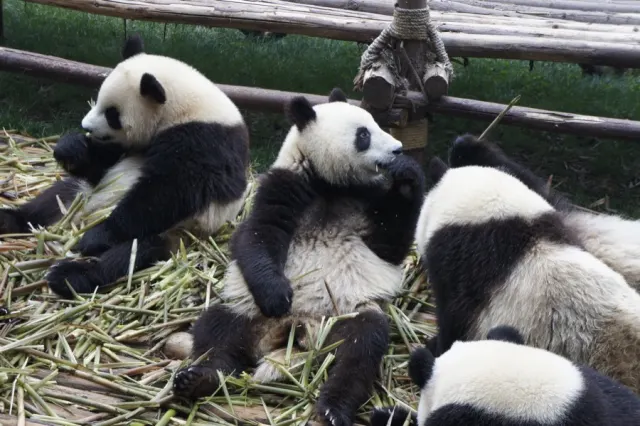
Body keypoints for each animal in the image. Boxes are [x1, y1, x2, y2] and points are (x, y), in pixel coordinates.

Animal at [0, 34, 250, 298]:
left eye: (112, 114)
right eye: (98, 101)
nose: (86, 126)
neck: (184, 107)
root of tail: (79, 218)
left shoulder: (205, 140)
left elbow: (168, 192)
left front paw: (97, 236)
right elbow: (100, 164)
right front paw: (71, 147)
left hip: (179, 231)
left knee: (131, 253)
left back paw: (71, 273)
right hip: (81, 194)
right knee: (52, 199)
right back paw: (9, 221)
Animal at [171, 88, 426, 426]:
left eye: (375, 124)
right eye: (363, 134)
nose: (398, 149)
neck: (331, 185)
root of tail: (295, 330)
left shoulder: (366, 201)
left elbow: (390, 247)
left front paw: (407, 175)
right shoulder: (284, 185)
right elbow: (256, 237)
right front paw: (277, 295)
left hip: (341, 317)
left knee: (361, 348)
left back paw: (333, 408)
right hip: (248, 311)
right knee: (217, 331)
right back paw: (200, 378)